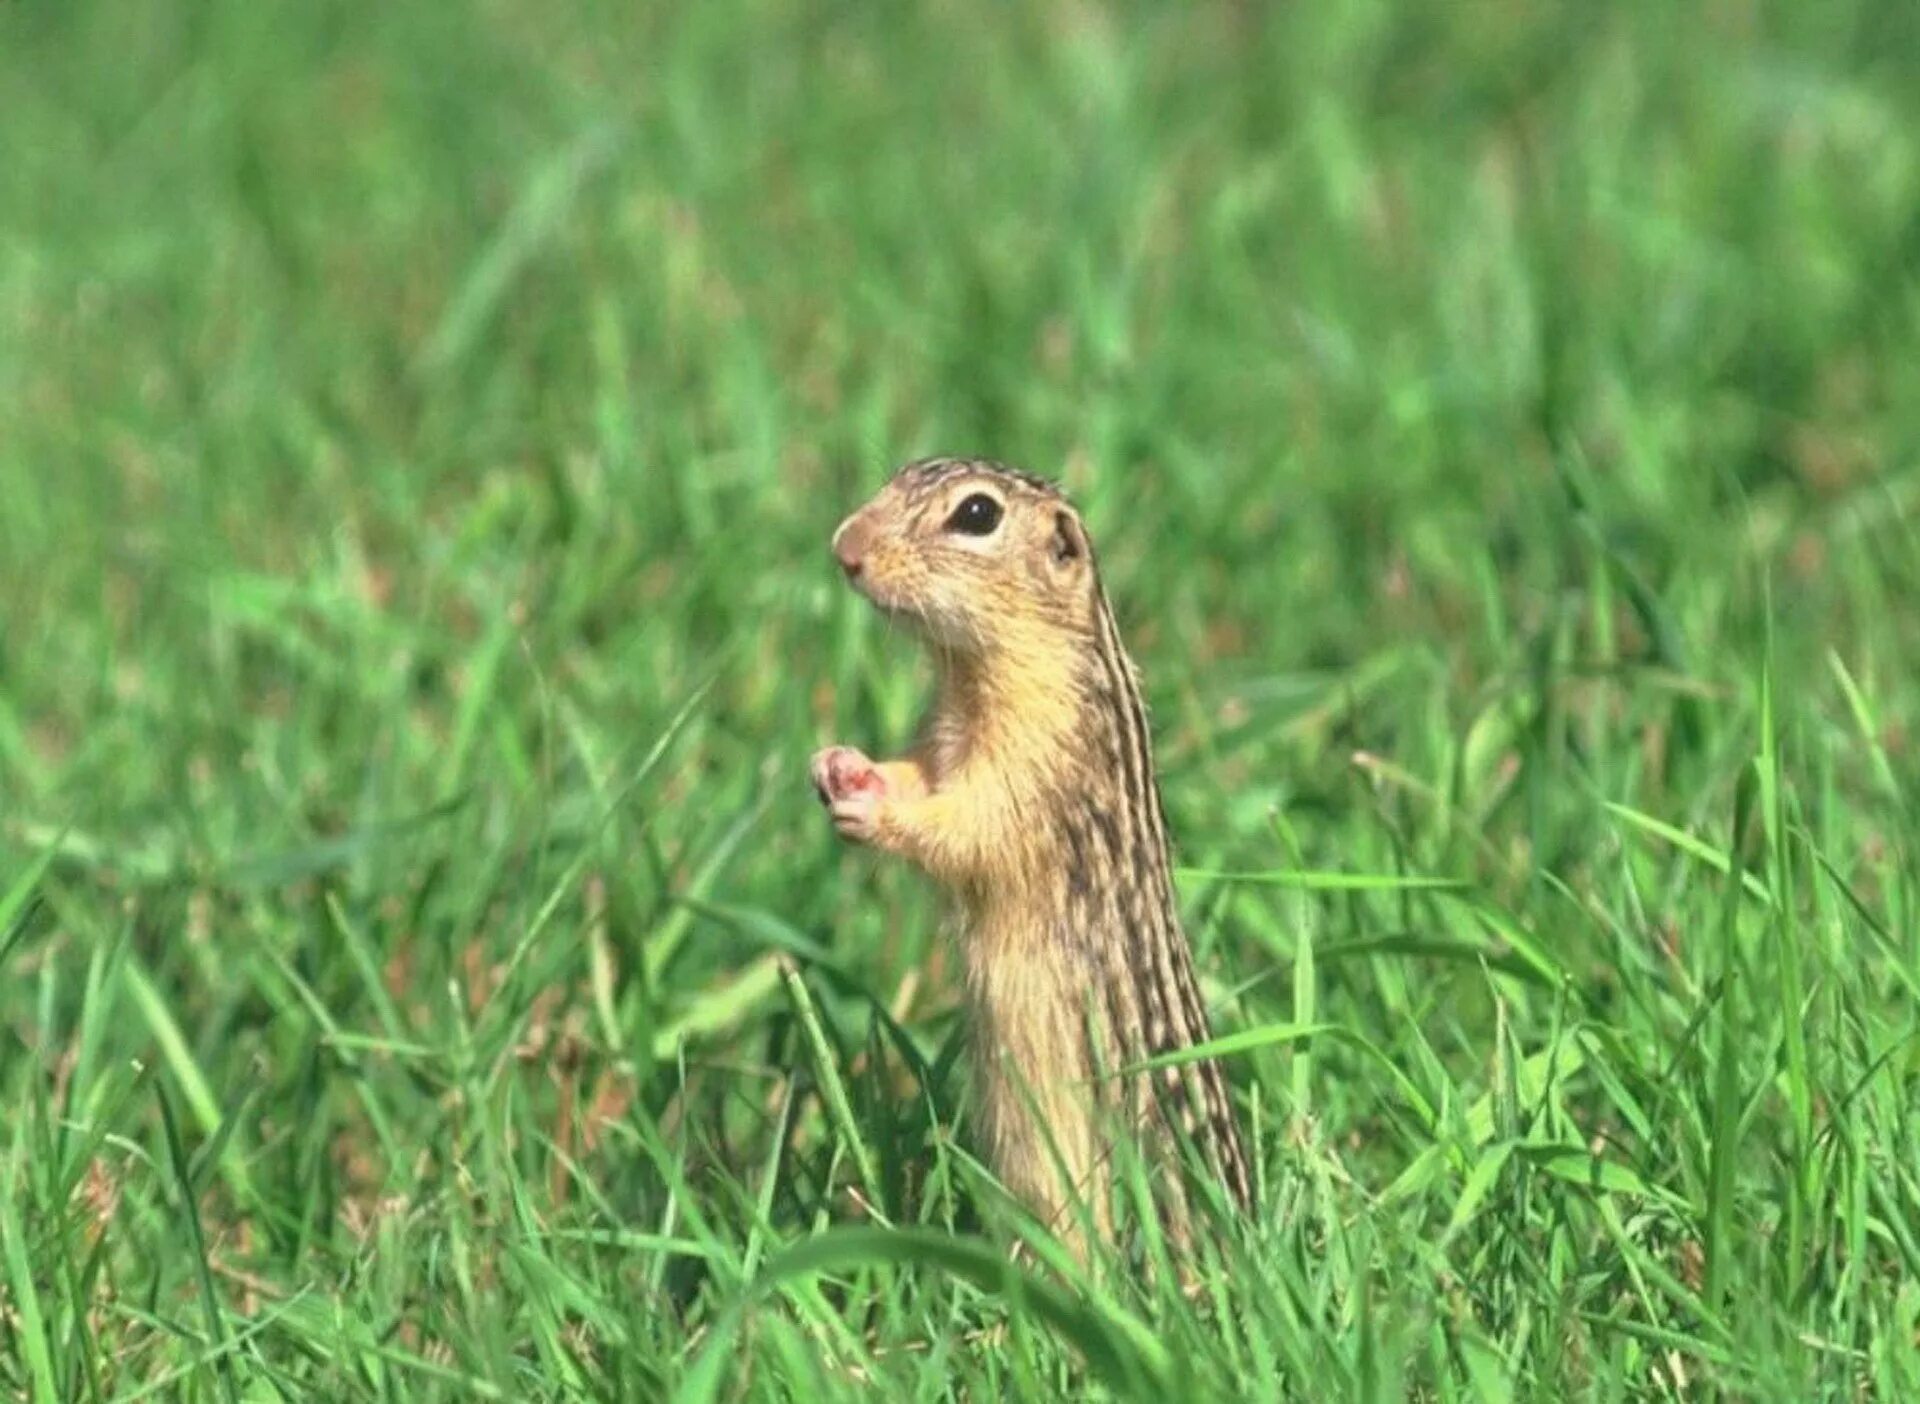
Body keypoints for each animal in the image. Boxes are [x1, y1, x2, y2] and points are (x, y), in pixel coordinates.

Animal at [806, 459, 1244, 1244]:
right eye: (899, 473)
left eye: (977, 515)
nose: (844, 547)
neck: (970, 677)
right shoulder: (942, 738)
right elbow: (922, 777)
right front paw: (841, 766)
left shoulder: (1039, 756)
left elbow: (967, 827)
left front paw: (873, 808)